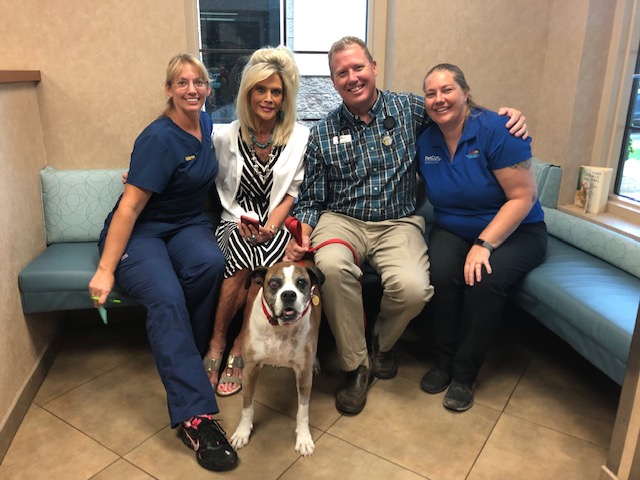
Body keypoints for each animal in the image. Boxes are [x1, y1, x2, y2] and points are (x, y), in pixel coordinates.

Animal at [230, 260, 322, 456]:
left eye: (301, 282)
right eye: (274, 283)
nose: (288, 294)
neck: (280, 328)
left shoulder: (304, 376)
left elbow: (303, 412)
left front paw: (304, 438)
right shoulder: (250, 370)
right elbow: (247, 407)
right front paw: (242, 432)